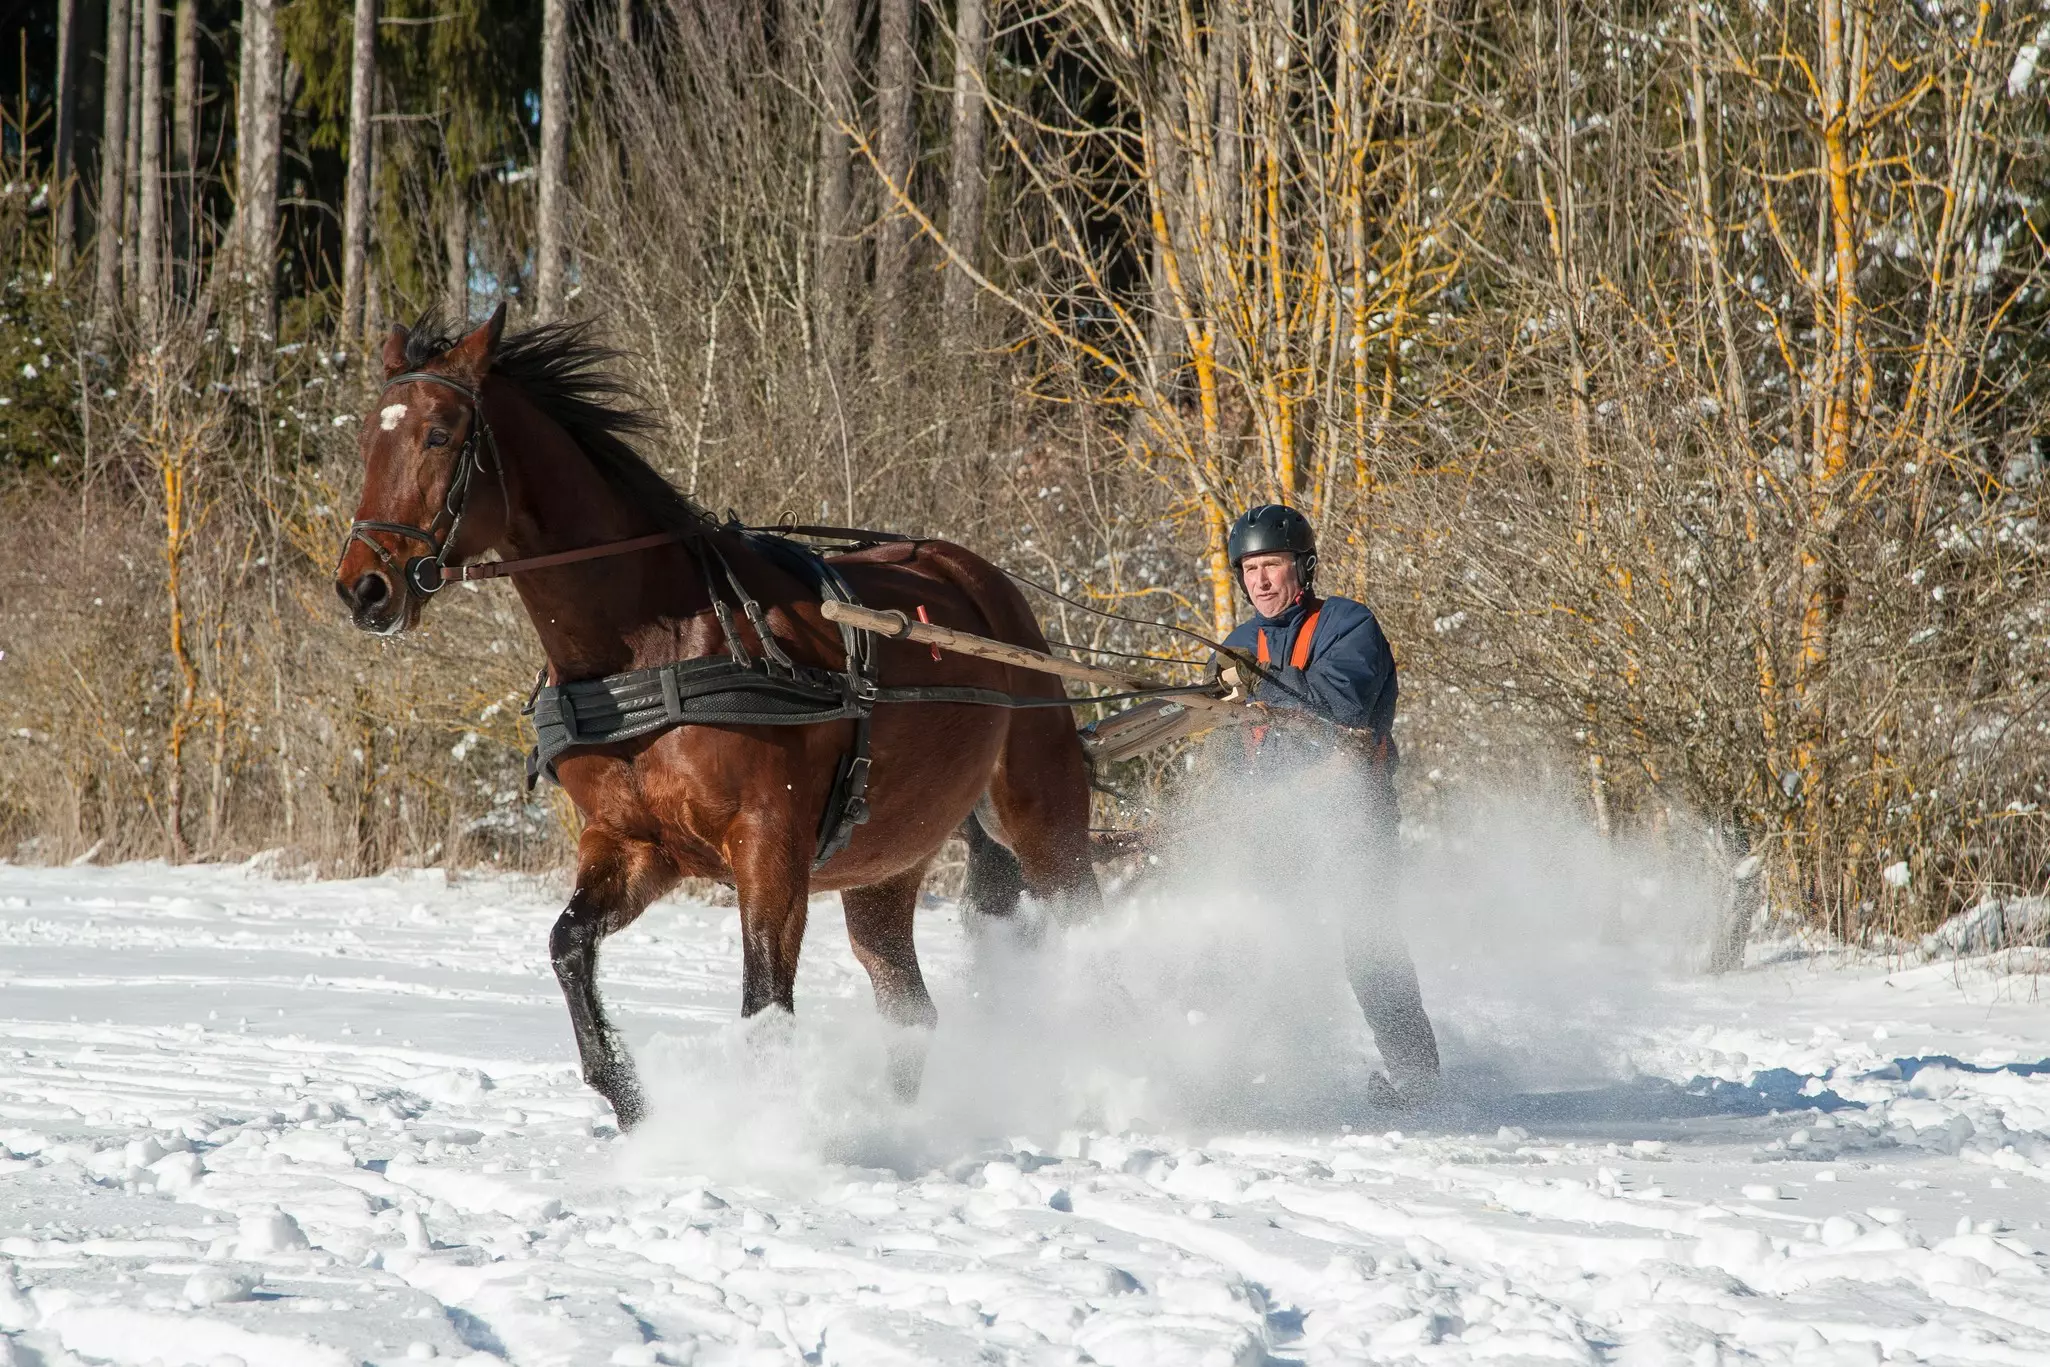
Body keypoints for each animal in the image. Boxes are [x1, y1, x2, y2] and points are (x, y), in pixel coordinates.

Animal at [333, 306, 1099, 1129]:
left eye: (440, 434)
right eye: (367, 440)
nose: (364, 588)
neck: (652, 646)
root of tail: (984, 581)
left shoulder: (770, 844)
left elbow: (765, 1008)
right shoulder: (633, 843)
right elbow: (568, 947)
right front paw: (629, 1098)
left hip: (1043, 814)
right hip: (887, 863)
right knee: (910, 1010)